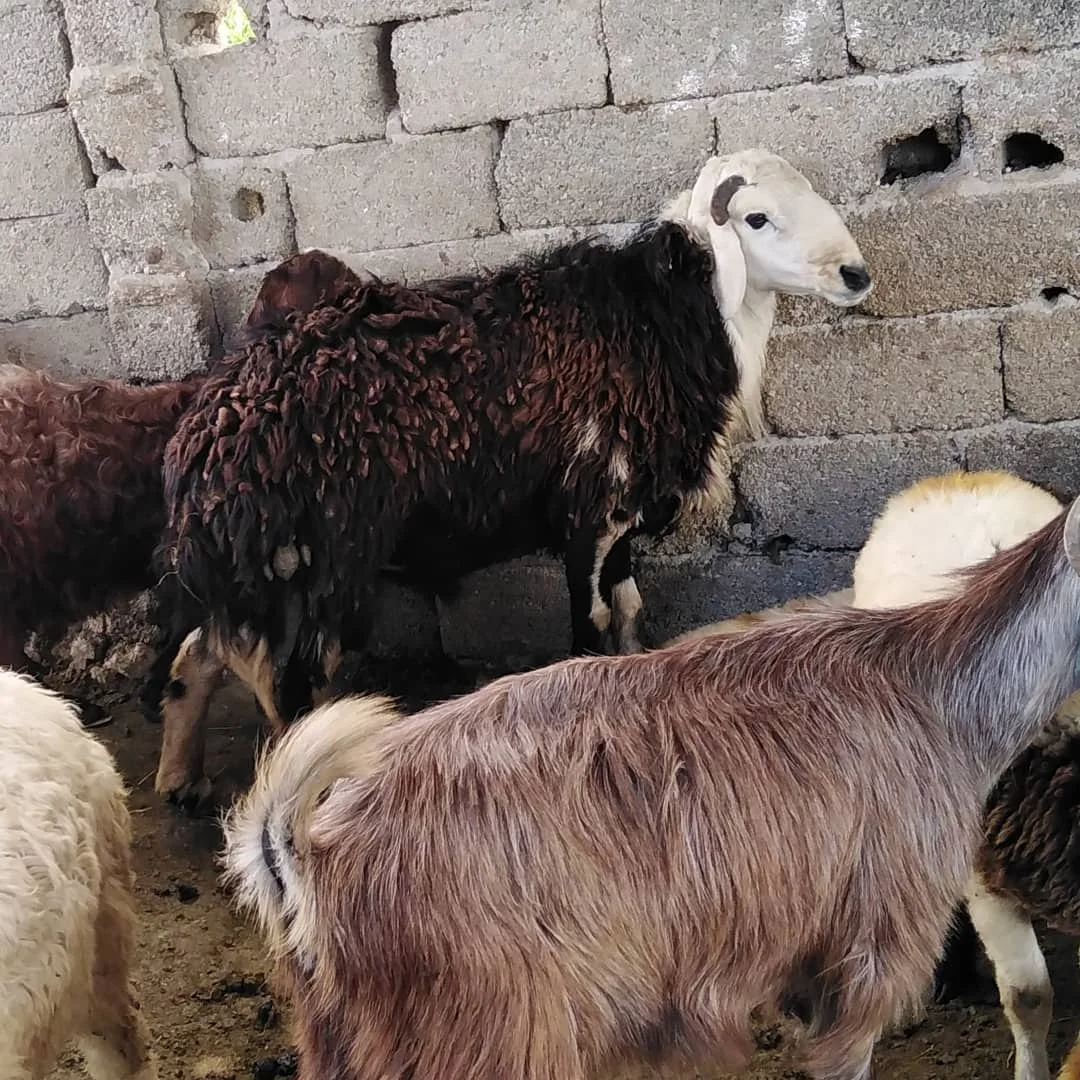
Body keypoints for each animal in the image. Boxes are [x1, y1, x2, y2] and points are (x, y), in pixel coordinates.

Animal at [153, 147, 873, 808]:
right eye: (756, 218)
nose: (856, 275)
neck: (671, 317)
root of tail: (204, 447)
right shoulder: (589, 510)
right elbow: (590, 627)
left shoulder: (621, 519)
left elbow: (629, 614)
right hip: (313, 566)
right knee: (284, 684)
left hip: (261, 577)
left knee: (201, 653)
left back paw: (180, 779)